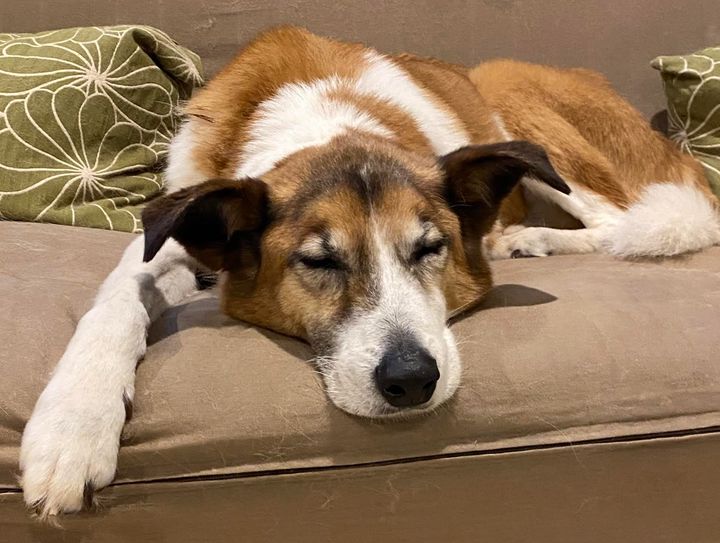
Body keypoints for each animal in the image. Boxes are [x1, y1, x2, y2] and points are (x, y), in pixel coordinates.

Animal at [18, 26, 720, 520]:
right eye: (320, 261)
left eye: (430, 248)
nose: (411, 381)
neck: (327, 118)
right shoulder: (169, 232)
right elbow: (119, 295)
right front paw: (71, 426)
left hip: (517, 102)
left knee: (634, 220)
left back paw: (528, 239)